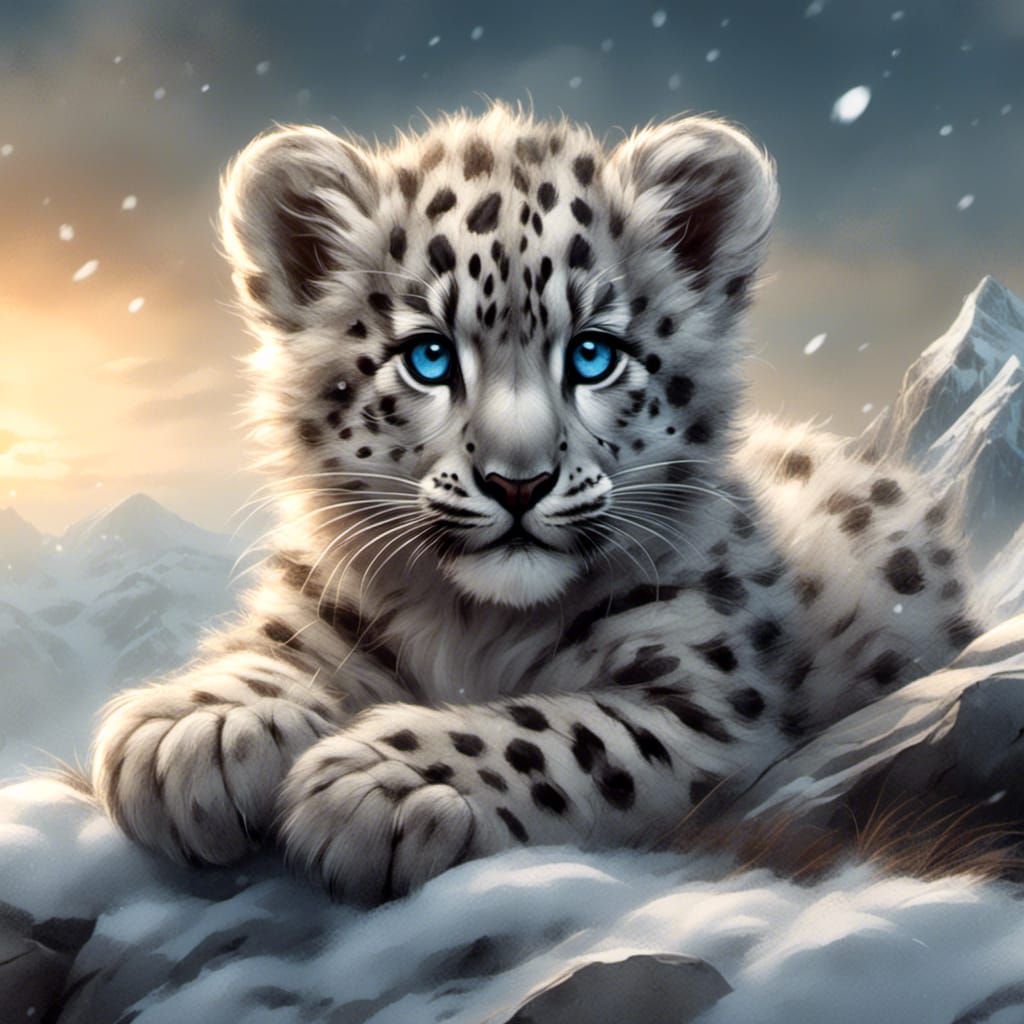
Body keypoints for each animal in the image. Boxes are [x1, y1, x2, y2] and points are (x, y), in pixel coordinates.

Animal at [90, 103, 981, 904]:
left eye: (592, 354)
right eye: (429, 356)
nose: (517, 481)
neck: (473, 623)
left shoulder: (710, 701)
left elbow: (560, 732)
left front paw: (380, 778)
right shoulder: (322, 606)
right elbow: (273, 646)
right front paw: (195, 731)